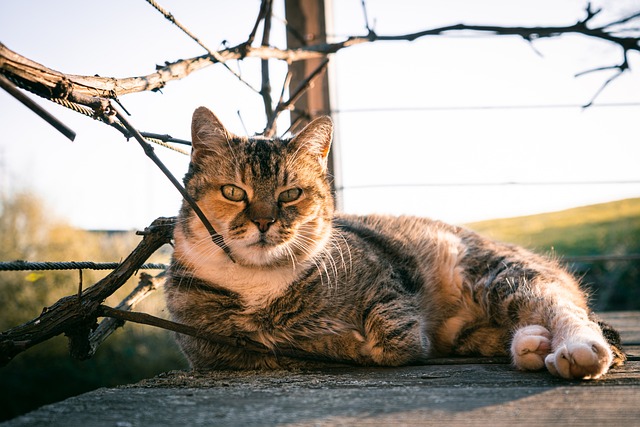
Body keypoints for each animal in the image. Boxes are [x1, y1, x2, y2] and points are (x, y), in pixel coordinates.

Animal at [165, 105, 624, 380]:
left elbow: (393, 333)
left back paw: (577, 349)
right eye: (233, 192)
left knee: (564, 307)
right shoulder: (217, 348)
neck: (260, 283)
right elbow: (274, 346)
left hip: (502, 276)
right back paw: (533, 343)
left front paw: (368, 341)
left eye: (290, 194)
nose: (264, 221)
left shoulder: (386, 273)